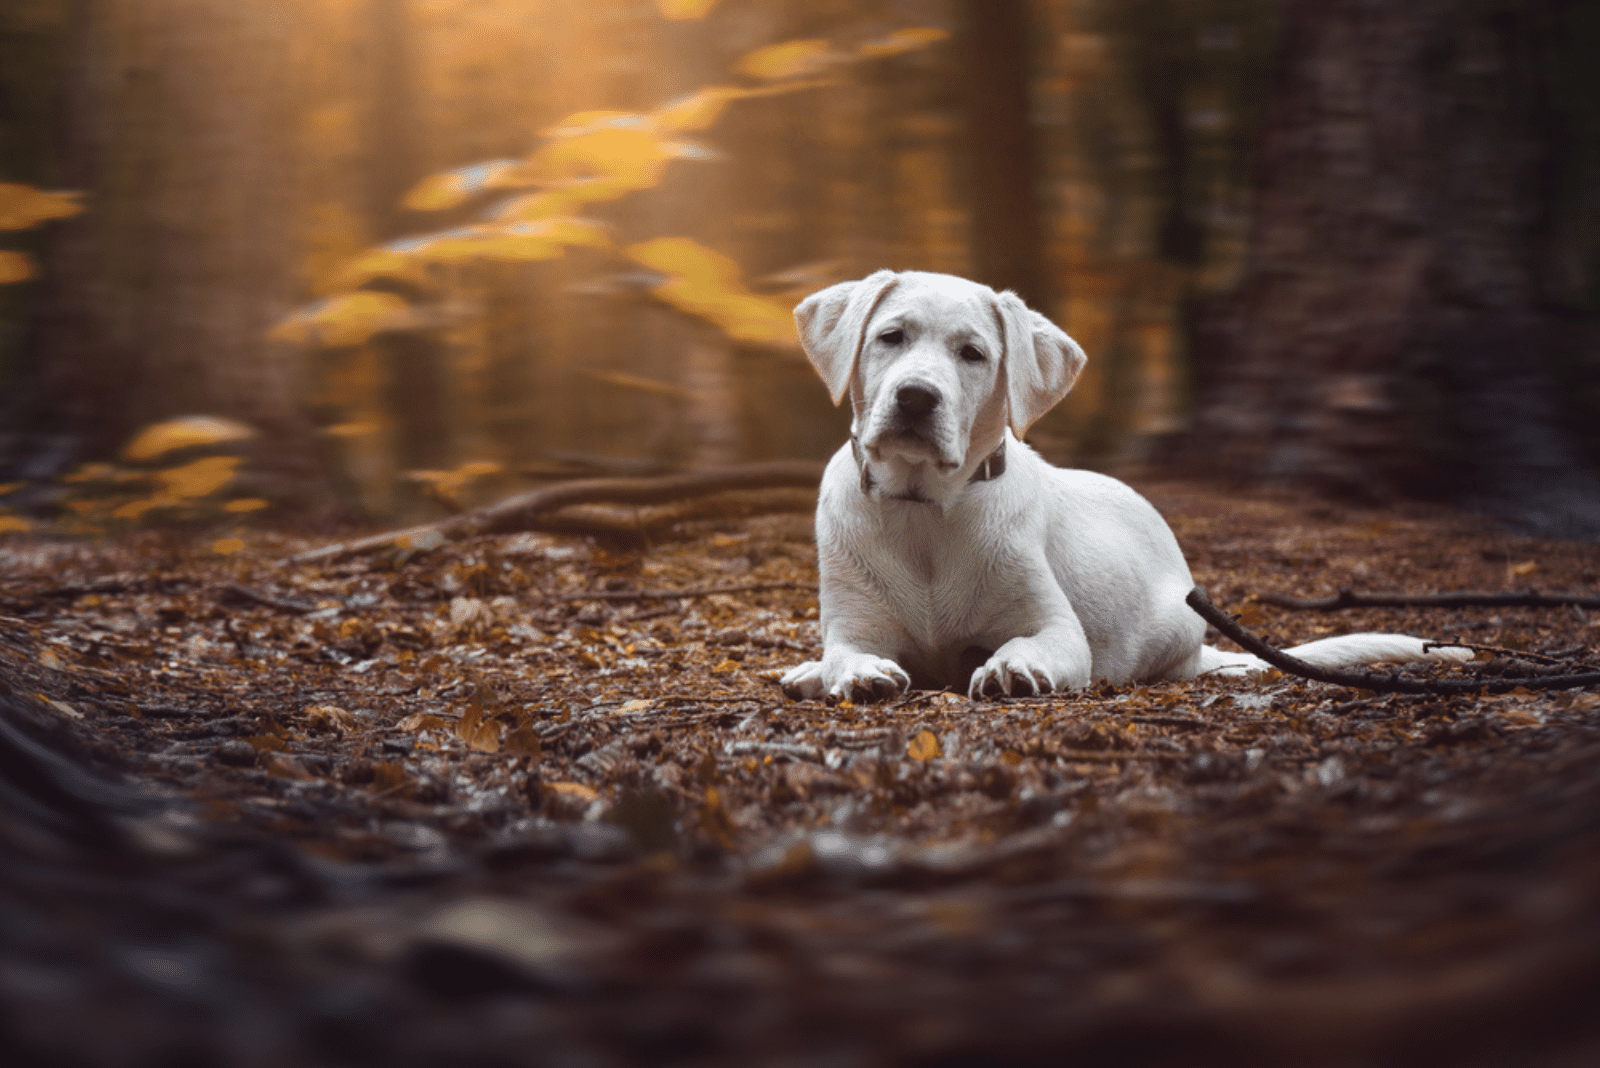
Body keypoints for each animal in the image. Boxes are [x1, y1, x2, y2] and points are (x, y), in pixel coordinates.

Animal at [780, 268, 1465, 700]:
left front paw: (1010, 666)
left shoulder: (1057, 629)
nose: (917, 398)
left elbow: (1030, 644)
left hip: (1174, 627)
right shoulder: (854, 626)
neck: (925, 510)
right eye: (889, 337)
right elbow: (847, 653)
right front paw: (849, 674)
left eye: (972, 353)